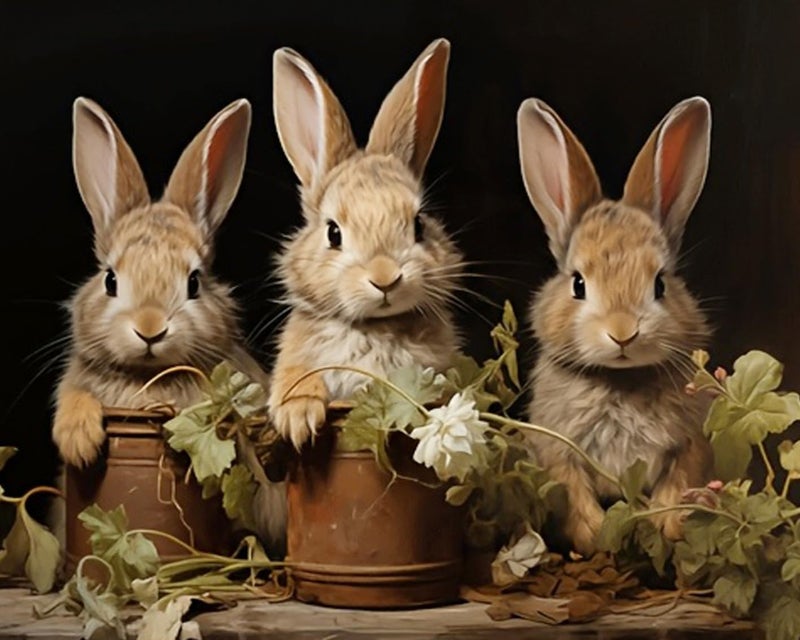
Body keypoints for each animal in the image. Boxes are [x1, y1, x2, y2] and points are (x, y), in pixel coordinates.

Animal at [52, 97, 287, 547]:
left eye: (194, 282)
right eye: (110, 279)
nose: (150, 328)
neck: (149, 376)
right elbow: (73, 398)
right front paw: (80, 442)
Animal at [268, 38, 464, 450]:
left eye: (418, 224)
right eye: (333, 233)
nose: (385, 278)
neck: (374, 328)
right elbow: (296, 377)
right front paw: (298, 419)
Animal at [517, 96, 715, 556]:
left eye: (660, 283)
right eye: (578, 283)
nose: (623, 332)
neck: (620, 380)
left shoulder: (690, 442)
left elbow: (679, 482)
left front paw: (667, 525)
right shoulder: (555, 444)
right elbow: (570, 487)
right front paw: (592, 537)